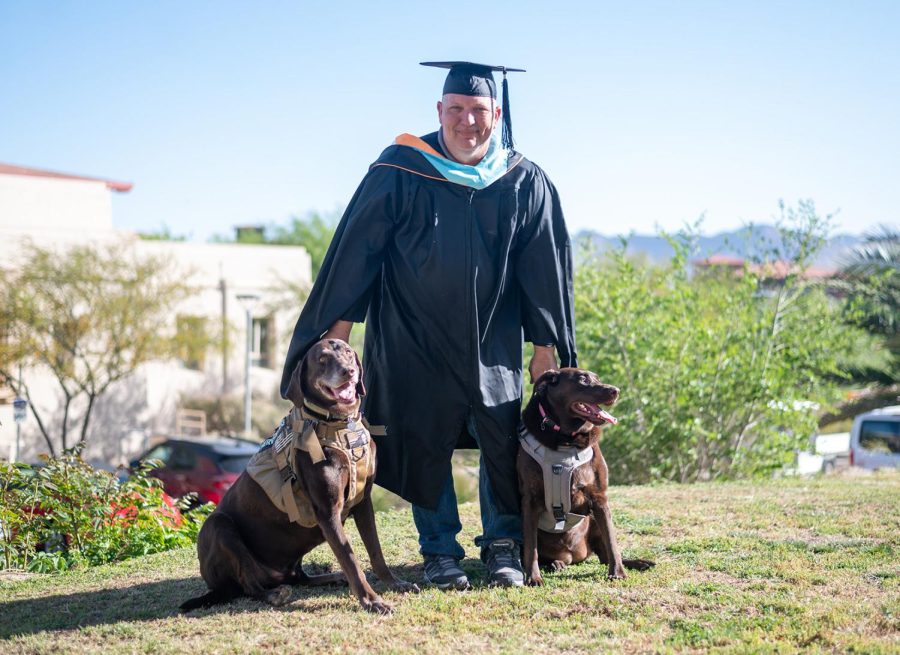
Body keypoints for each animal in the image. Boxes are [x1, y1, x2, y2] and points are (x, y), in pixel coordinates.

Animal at [180, 338, 418, 616]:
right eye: (322, 360)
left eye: (349, 353)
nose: (348, 372)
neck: (340, 427)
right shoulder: (328, 513)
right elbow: (351, 560)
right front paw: (373, 601)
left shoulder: (363, 501)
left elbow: (375, 551)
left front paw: (395, 583)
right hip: (218, 527)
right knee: (250, 584)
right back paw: (274, 595)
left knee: (299, 577)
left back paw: (331, 577)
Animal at [516, 366, 652, 588]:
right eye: (582, 379)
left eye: (597, 378)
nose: (615, 390)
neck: (566, 439)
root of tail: (572, 555)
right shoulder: (530, 499)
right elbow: (531, 547)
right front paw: (533, 577)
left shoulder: (599, 498)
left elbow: (612, 541)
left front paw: (618, 573)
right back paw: (555, 564)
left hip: (593, 519)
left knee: (604, 555)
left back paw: (639, 562)